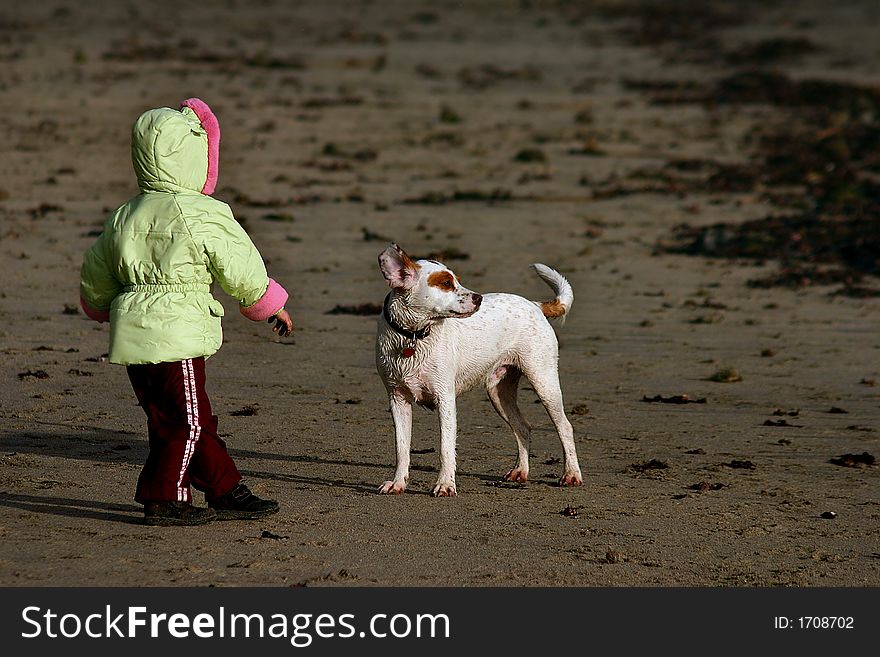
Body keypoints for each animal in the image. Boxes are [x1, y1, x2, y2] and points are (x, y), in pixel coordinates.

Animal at [374, 243, 580, 494]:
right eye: (445, 283)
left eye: (457, 280)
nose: (479, 298)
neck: (412, 336)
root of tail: (534, 305)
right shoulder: (397, 399)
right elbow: (402, 448)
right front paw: (398, 483)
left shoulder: (445, 399)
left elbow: (446, 447)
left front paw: (445, 485)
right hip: (499, 392)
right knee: (522, 427)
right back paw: (520, 471)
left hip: (544, 382)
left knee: (565, 427)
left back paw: (571, 474)